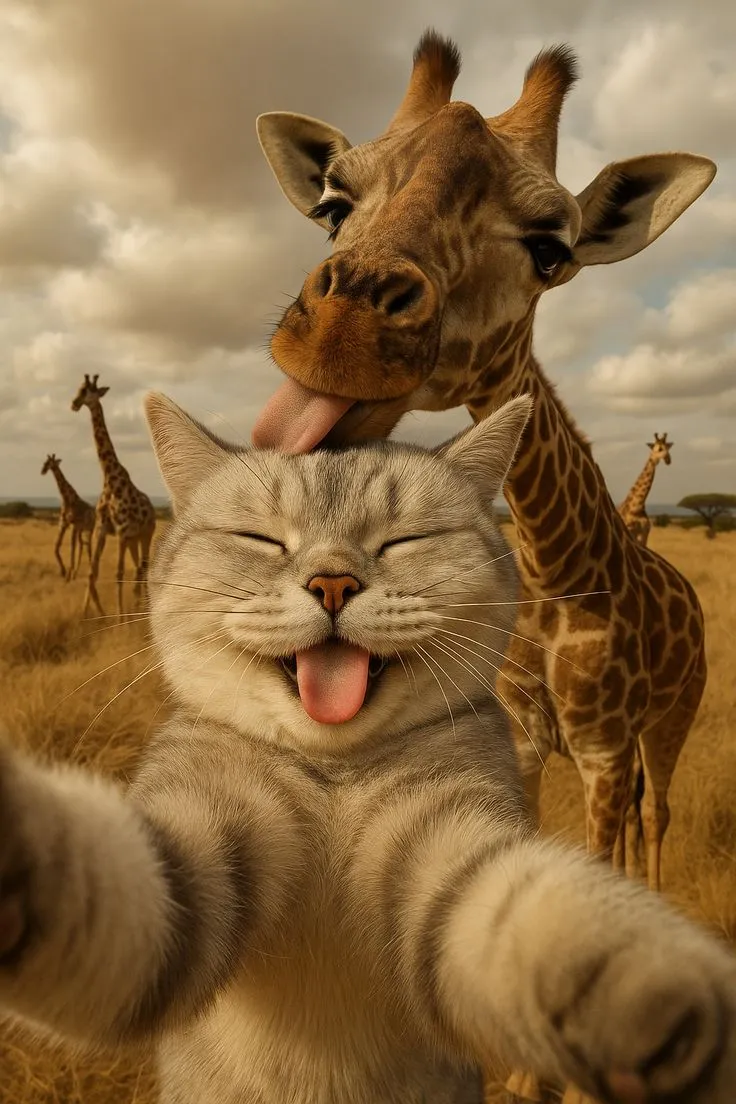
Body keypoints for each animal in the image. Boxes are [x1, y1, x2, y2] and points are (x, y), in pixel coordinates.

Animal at [40, 453, 96, 581]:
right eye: (45, 462)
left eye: (52, 462)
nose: (43, 471)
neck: (66, 499)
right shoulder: (63, 523)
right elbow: (56, 546)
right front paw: (63, 571)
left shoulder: (73, 525)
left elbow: (71, 548)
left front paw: (68, 574)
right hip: (81, 530)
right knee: (82, 545)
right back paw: (75, 573)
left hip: (89, 529)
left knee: (88, 546)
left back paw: (90, 572)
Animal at [70, 374, 156, 619]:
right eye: (79, 389)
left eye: (87, 391)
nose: (74, 404)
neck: (110, 480)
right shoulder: (102, 528)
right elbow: (93, 571)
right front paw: (88, 613)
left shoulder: (121, 531)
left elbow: (118, 573)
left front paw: (120, 618)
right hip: (133, 539)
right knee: (138, 568)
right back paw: (137, 607)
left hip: (145, 535)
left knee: (143, 567)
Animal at [252, 33, 712, 1104]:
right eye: (333, 202)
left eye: (552, 248)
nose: (337, 335)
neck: (555, 575)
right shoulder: (537, 738)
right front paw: (523, 1070)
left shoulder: (600, 746)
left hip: (673, 718)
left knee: (659, 816)